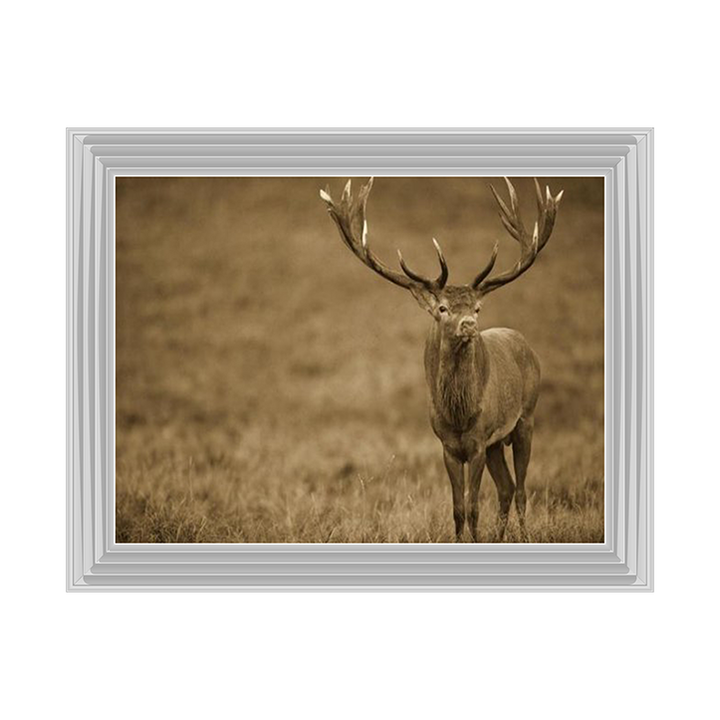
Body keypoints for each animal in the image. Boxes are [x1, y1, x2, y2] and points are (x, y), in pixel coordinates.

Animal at [320, 177, 563, 542]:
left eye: (477, 307)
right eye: (443, 308)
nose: (469, 325)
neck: (459, 415)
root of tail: (526, 345)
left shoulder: (477, 442)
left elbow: (474, 507)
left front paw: (476, 540)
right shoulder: (448, 446)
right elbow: (458, 508)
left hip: (526, 418)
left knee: (520, 489)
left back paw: (523, 536)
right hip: (497, 443)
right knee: (506, 488)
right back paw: (501, 537)